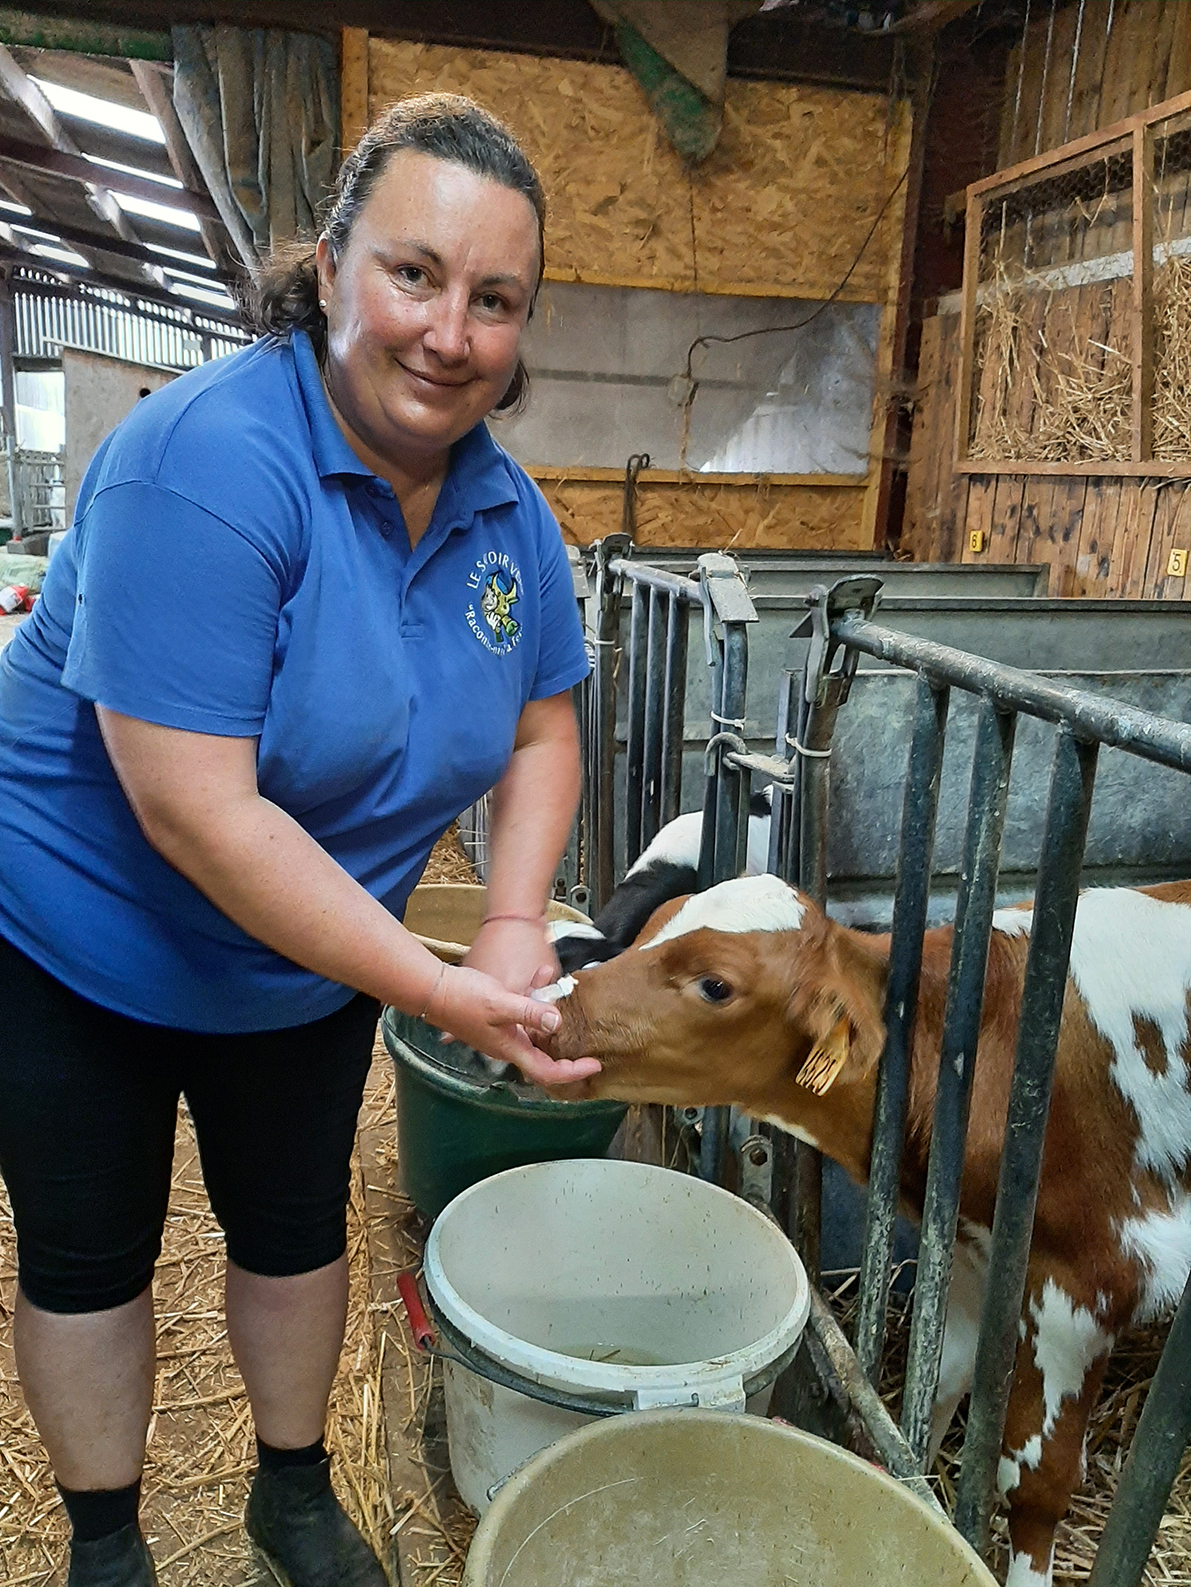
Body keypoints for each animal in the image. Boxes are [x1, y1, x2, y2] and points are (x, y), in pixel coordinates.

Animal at [543, 876, 1191, 1580]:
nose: (550, 1015)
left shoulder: (1090, 1280)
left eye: (715, 985)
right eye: (652, 925)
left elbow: (1036, 1483)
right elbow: (934, 1387)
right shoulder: (970, 1246)